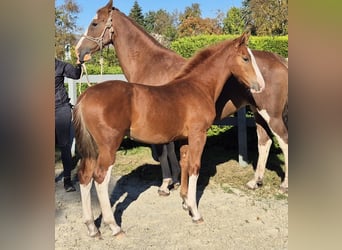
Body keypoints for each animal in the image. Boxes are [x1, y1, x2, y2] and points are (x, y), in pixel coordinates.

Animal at [73, 31, 266, 236]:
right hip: (109, 146)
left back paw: (92, 227)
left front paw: (186, 203)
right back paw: (114, 226)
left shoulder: (185, 139)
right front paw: (195, 213)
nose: (261, 85)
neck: (198, 86)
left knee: (85, 176)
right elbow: (195, 167)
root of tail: (85, 96)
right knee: (100, 178)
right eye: (245, 58)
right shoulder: (198, 135)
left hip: (92, 148)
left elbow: (184, 165)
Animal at [75, 0, 288, 193]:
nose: (78, 51)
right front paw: (176, 179)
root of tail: (280, 60)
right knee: (265, 141)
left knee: (283, 140)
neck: (151, 64)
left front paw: (166, 184)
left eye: (94, 23)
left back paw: (284, 185)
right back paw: (255, 181)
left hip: (272, 115)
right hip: (259, 112)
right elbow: (171, 151)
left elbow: (163, 153)